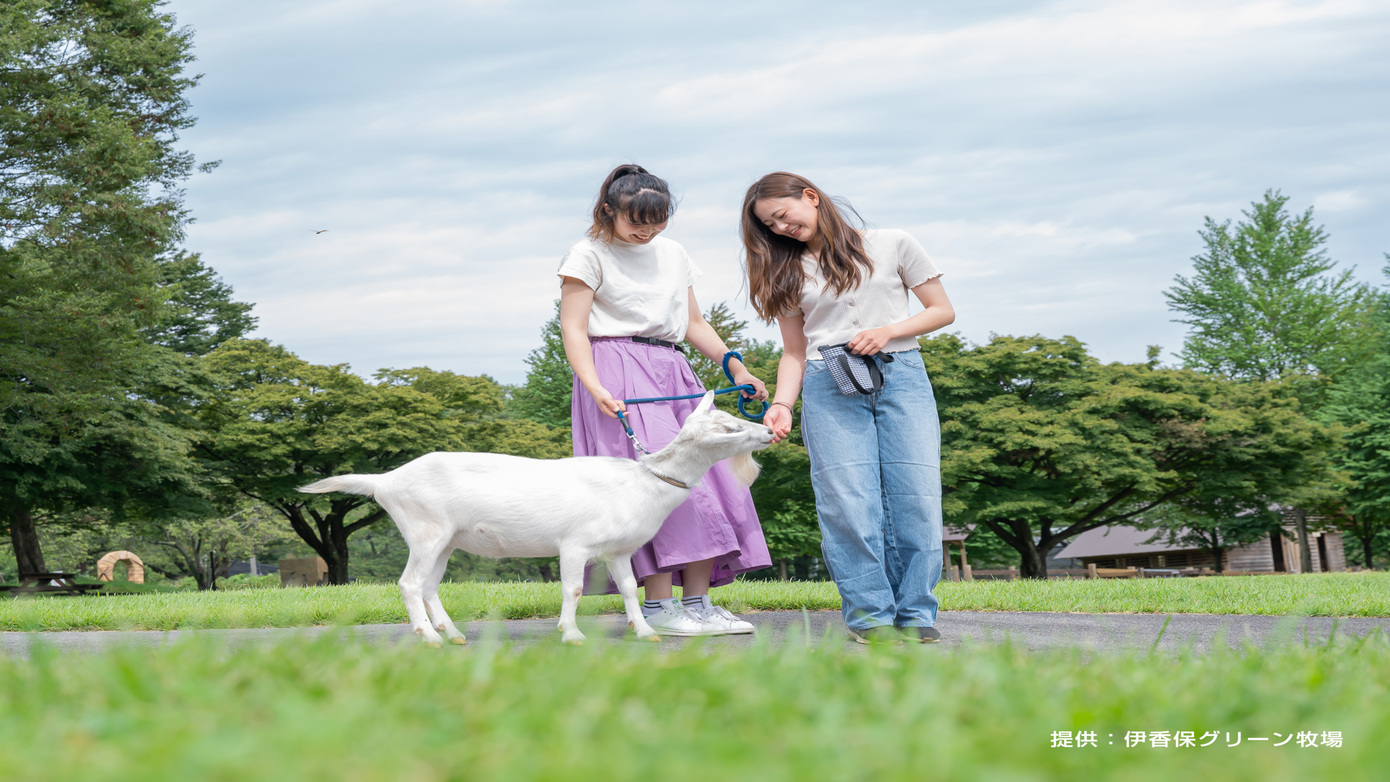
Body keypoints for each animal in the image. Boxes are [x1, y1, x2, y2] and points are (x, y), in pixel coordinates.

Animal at [300, 394, 778, 644]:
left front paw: (644, 631)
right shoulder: (576, 543)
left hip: (447, 539)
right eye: (730, 429)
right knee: (408, 583)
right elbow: (574, 588)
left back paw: (452, 634)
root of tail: (385, 482)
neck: (643, 482)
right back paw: (429, 636)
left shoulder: (619, 550)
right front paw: (570, 634)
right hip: (424, 529)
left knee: (430, 585)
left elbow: (628, 588)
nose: (771, 430)